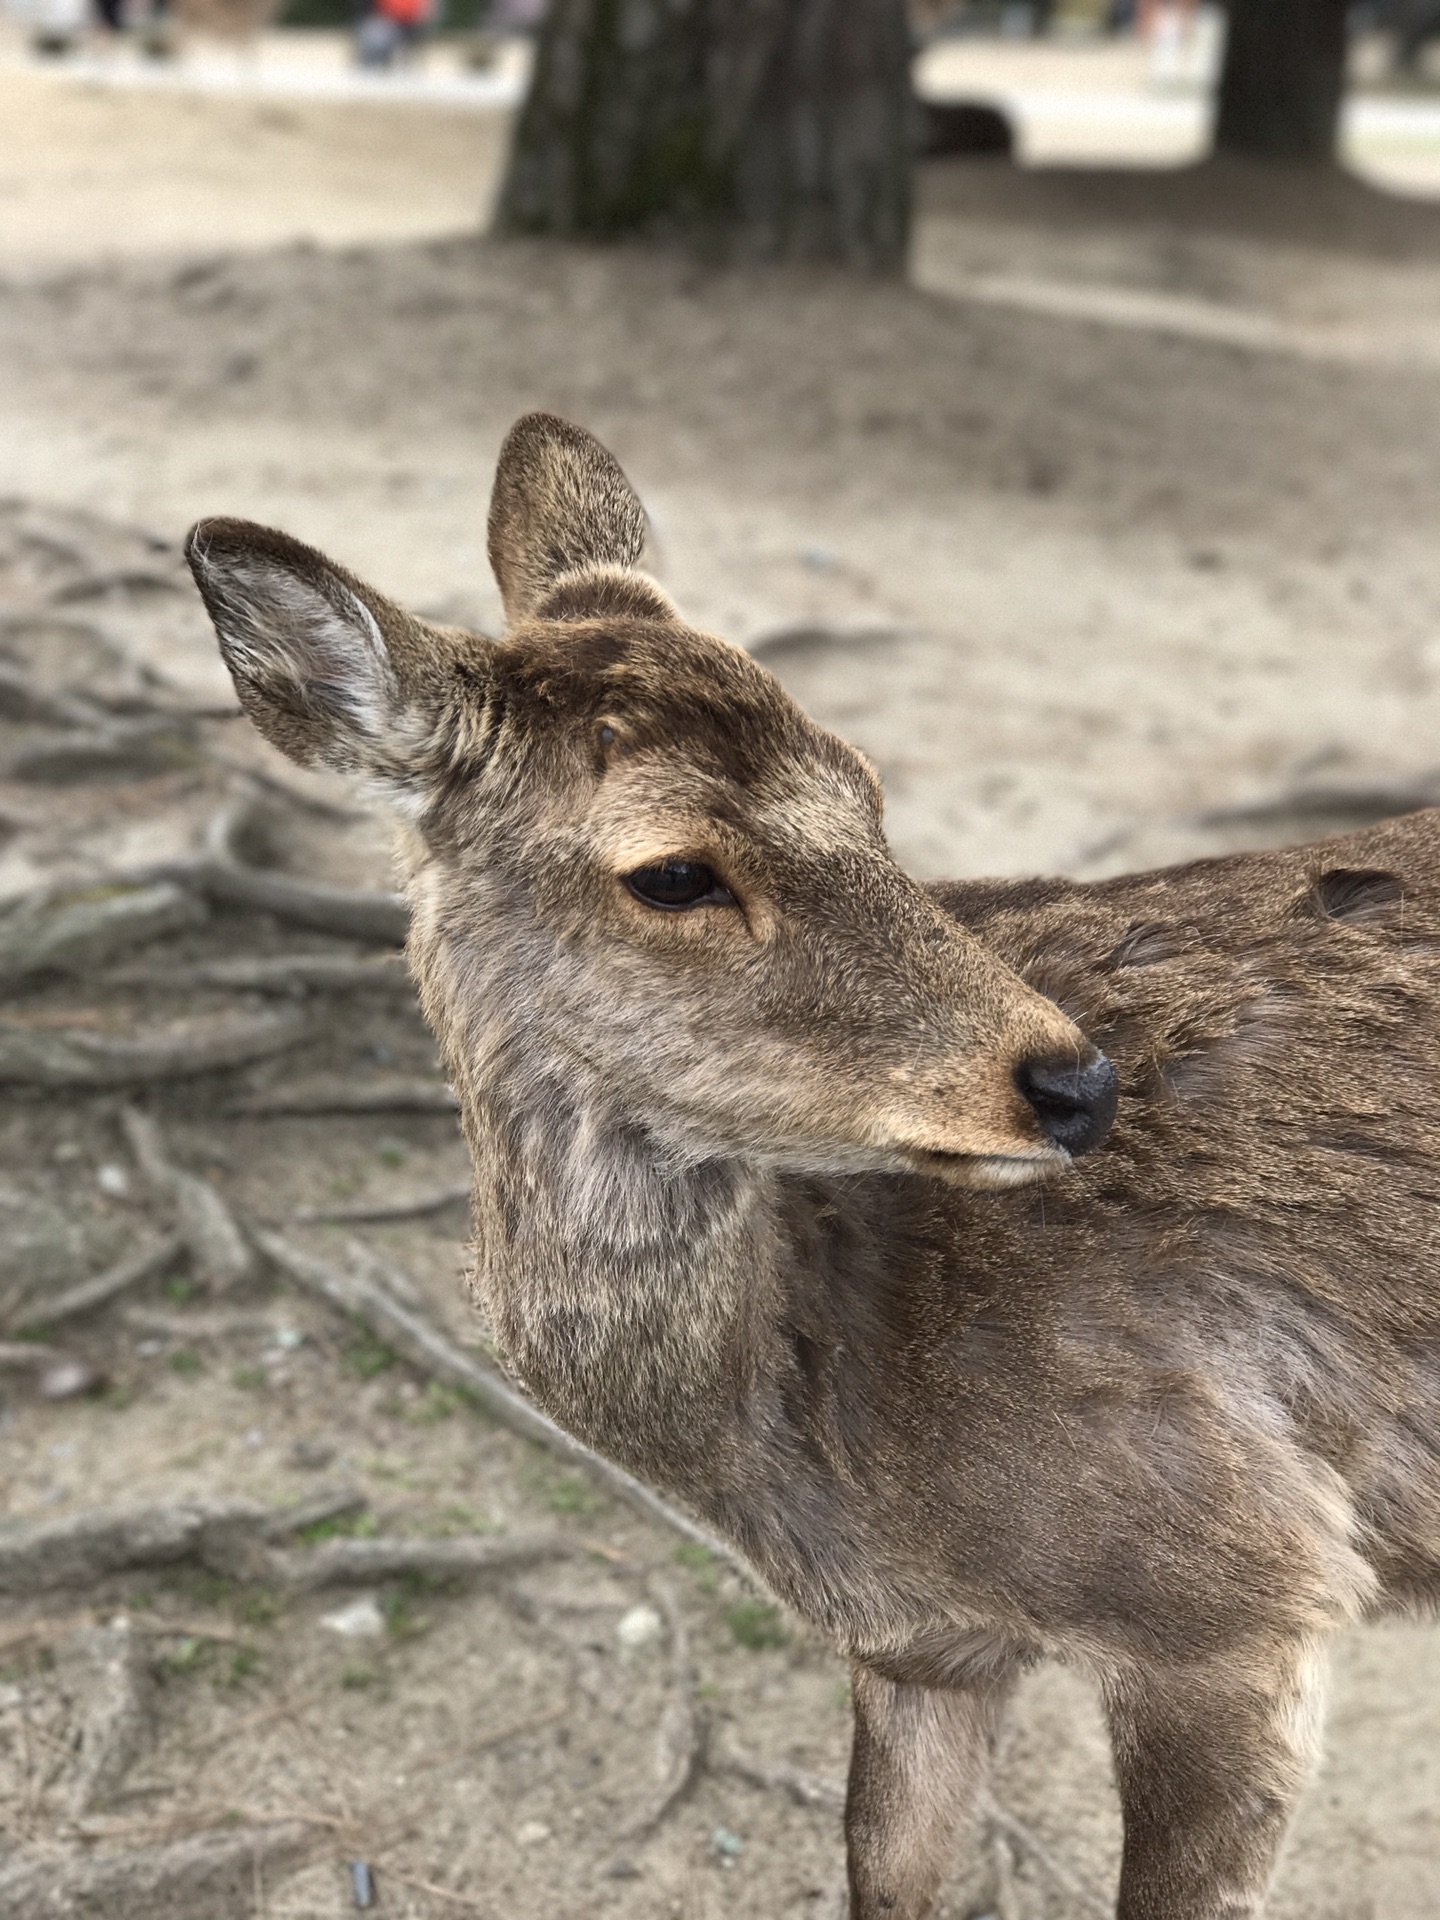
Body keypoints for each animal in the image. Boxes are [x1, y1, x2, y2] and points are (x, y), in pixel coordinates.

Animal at [186, 408, 1440, 1920]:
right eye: (672, 872)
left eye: (870, 788)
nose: (1075, 1084)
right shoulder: (919, 1650)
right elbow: (883, 1874)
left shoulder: (1246, 1595)